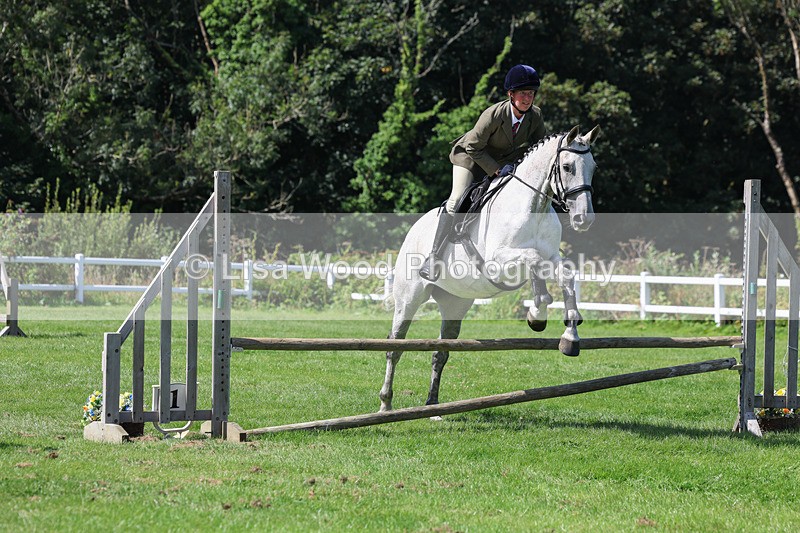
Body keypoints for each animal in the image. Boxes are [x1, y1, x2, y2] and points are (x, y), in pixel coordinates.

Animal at [379, 125, 601, 412]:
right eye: (566, 167)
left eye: (594, 167)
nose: (584, 219)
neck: (534, 207)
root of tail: (415, 229)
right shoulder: (499, 262)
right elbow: (533, 260)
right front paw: (540, 313)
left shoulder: (550, 256)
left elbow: (562, 274)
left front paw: (565, 333)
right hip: (409, 299)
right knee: (394, 347)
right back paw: (386, 403)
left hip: (455, 305)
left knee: (440, 352)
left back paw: (433, 405)